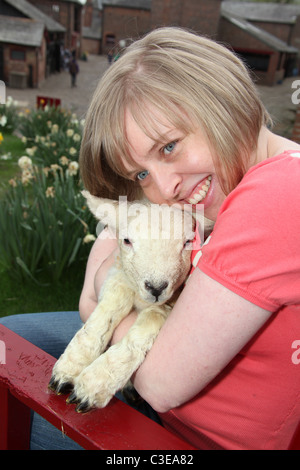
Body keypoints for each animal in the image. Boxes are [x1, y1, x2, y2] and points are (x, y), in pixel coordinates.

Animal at [48, 190, 210, 412]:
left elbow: (150, 320)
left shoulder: (168, 304)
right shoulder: (119, 273)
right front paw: (68, 369)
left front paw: (91, 387)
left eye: (188, 242)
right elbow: (109, 306)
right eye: (126, 240)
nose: (156, 287)